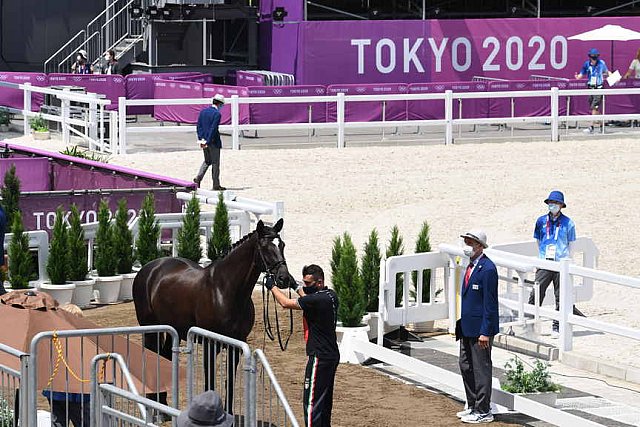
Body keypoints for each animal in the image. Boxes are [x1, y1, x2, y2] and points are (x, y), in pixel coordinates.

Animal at [133, 221, 298, 412]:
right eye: (265, 247)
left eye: (282, 245)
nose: (284, 279)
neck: (224, 290)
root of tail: (150, 268)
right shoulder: (209, 344)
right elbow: (210, 380)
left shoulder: (236, 345)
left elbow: (230, 381)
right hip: (150, 328)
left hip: (171, 329)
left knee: (165, 356)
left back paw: (163, 404)